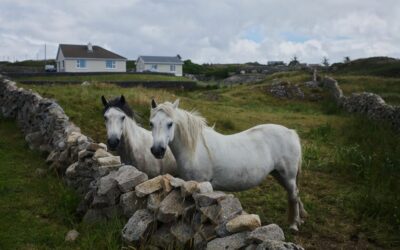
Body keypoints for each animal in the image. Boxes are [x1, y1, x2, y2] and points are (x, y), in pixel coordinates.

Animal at [148, 99, 308, 230]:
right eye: (151, 123)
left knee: (293, 196)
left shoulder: (200, 184)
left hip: (288, 176)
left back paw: (294, 225)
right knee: (295, 193)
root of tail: (291, 132)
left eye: (170, 123)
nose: (157, 150)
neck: (195, 149)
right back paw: (300, 219)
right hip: (279, 175)